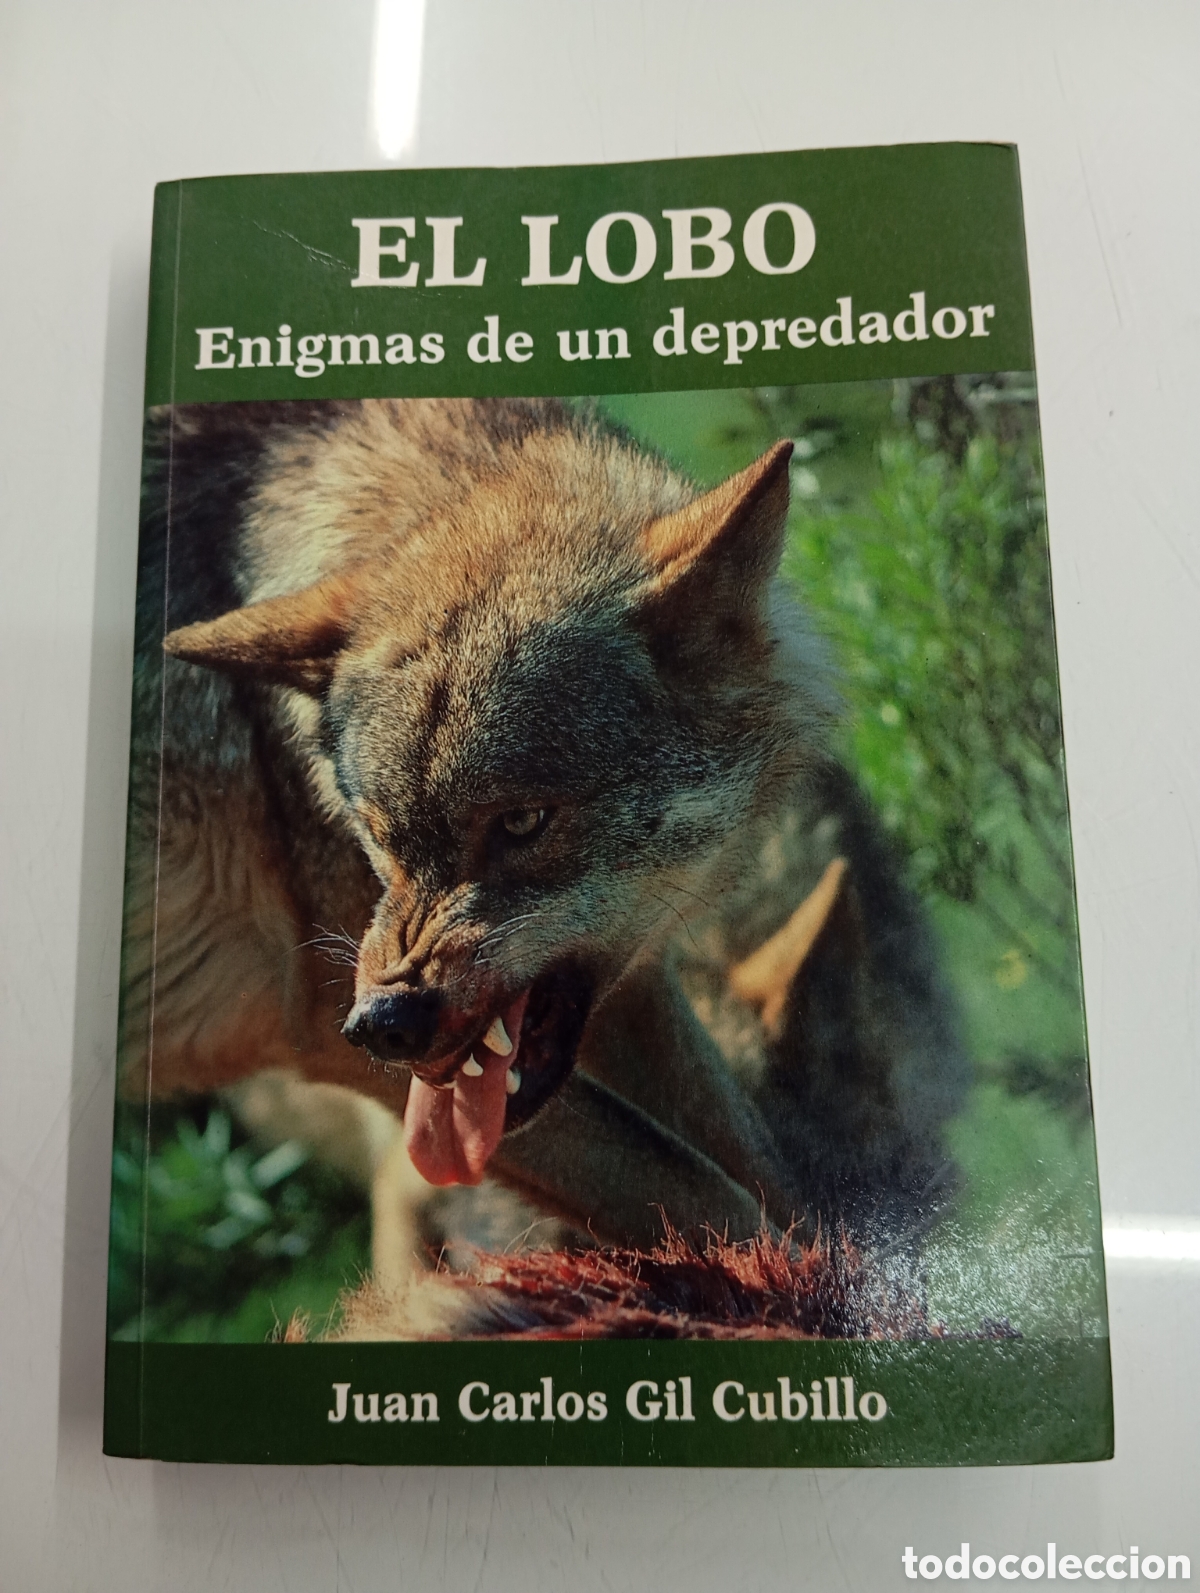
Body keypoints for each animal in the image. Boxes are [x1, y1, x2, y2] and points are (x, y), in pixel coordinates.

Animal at [120, 396, 966, 1262]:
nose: (382, 1024)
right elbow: (718, 1200)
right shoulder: (339, 1049)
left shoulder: (636, 989)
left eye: (522, 821)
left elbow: (764, 1165)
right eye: (379, 836)